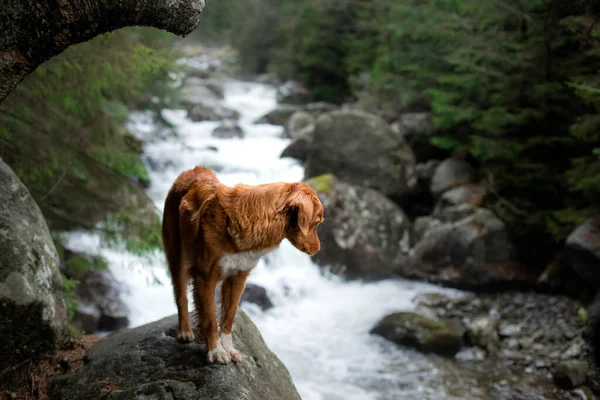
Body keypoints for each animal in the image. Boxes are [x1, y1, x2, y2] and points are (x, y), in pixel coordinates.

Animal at [161, 165, 324, 362]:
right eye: (316, 223)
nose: (318, 249)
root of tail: (192, 170)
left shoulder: (239, 276)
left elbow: (229, 315)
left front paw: (228, 348)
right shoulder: (205, 277)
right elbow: (209, 317)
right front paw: (215, 351)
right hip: (178, 256)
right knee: (181, 296)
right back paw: (185, 331)